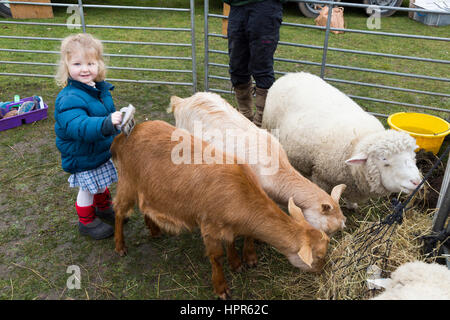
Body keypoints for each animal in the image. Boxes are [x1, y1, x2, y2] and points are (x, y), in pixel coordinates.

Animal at [111, 120, 330, 300]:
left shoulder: (228, 224)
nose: (322, 272)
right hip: (127, 181)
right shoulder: (209, 225)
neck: (240, 191)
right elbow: (216, 256)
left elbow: (230, 241)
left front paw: (236, 263)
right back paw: (120, 246)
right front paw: (221, 287)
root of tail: (126, 134)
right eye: (319, 256)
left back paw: (155, 230)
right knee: (119, 211)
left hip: (146, 187)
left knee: (144, 206)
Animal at [262, 72, 424, 205]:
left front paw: (352, 205)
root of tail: (291, 75)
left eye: (413, 157)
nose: (417, 182)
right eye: (385, 161)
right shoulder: (321, 178)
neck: (357, 143)